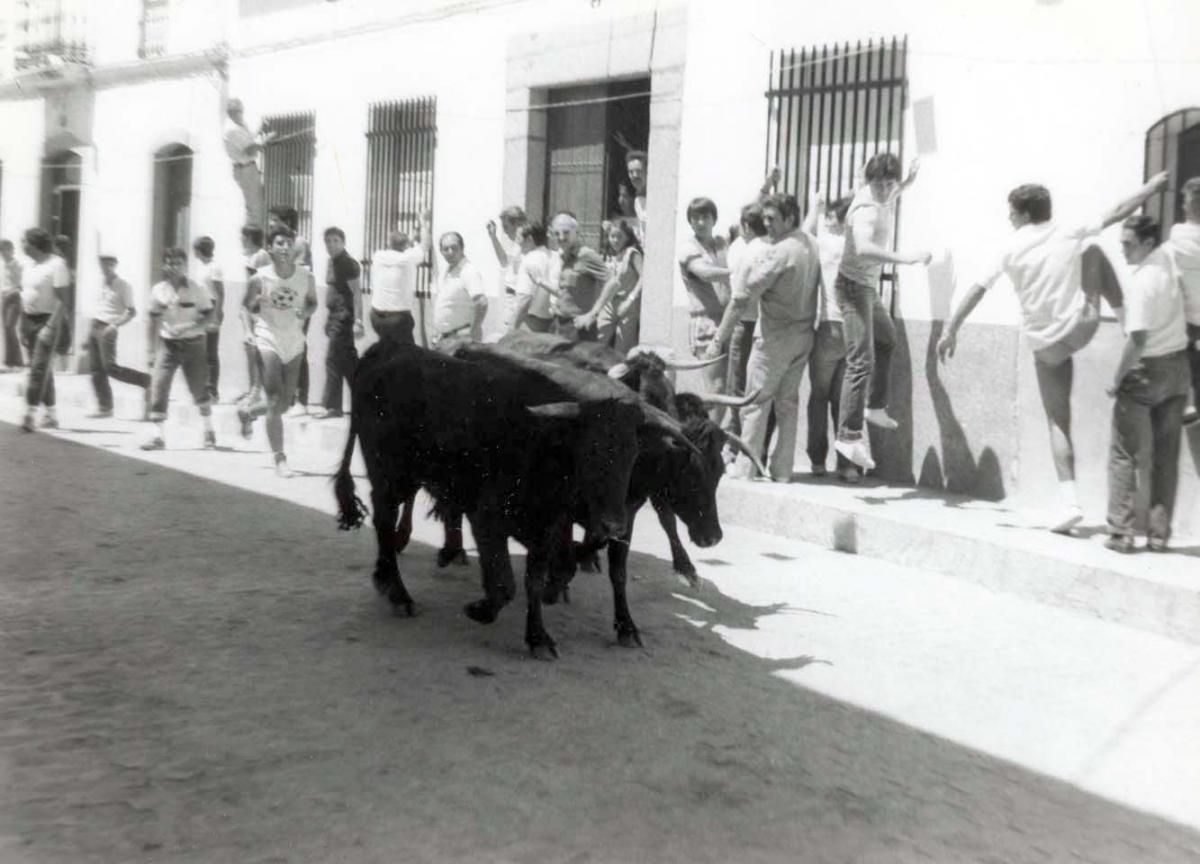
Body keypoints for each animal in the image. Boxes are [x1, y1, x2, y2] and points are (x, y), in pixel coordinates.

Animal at [333, 340, 700, 657]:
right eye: (590, 453)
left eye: (631, 454)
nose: (613, 524)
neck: (544, 448)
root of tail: (386, 348)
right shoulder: (487, 519)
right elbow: (505, 585)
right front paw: (480, 608)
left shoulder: (547, 529)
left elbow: (533, 582)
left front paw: (537, 636)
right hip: (388, 474)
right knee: (383, 520)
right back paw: (397, 591)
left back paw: (387, 577)